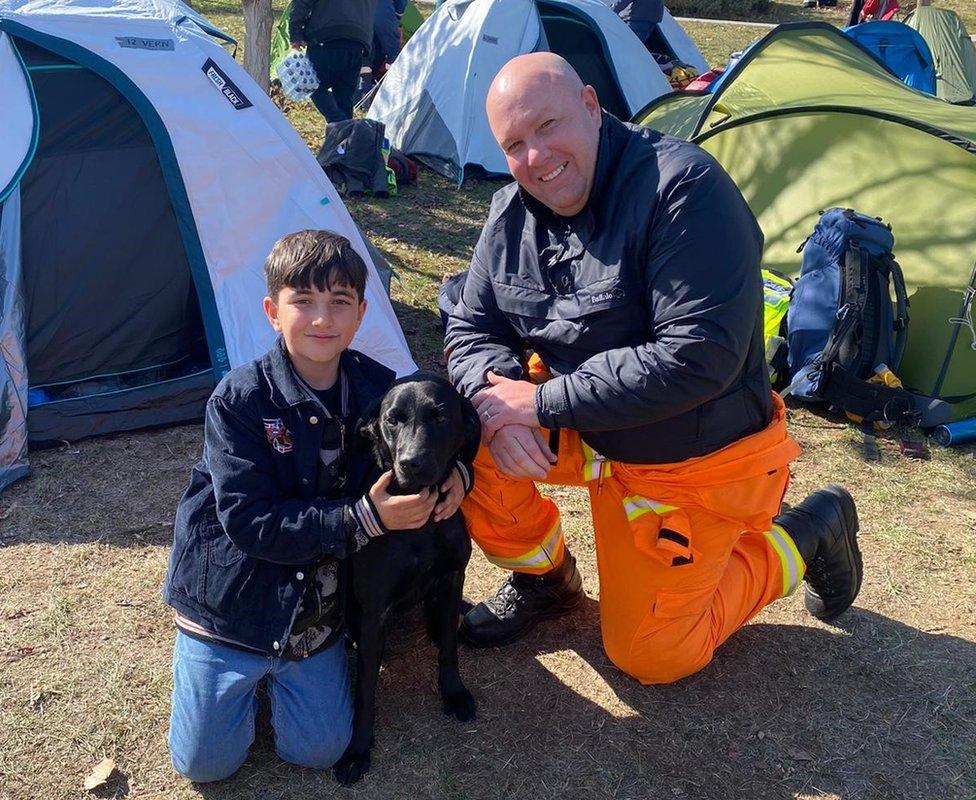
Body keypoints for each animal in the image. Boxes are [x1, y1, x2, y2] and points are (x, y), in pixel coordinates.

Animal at [334, 372, 482, 784]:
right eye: (392, 420)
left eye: (440, 417)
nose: (411, 463)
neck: (421, 522)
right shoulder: (373, 613)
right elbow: (365, 690)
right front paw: (357, 750)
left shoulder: (452, 578)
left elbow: (448, 649)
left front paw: (454, 693)